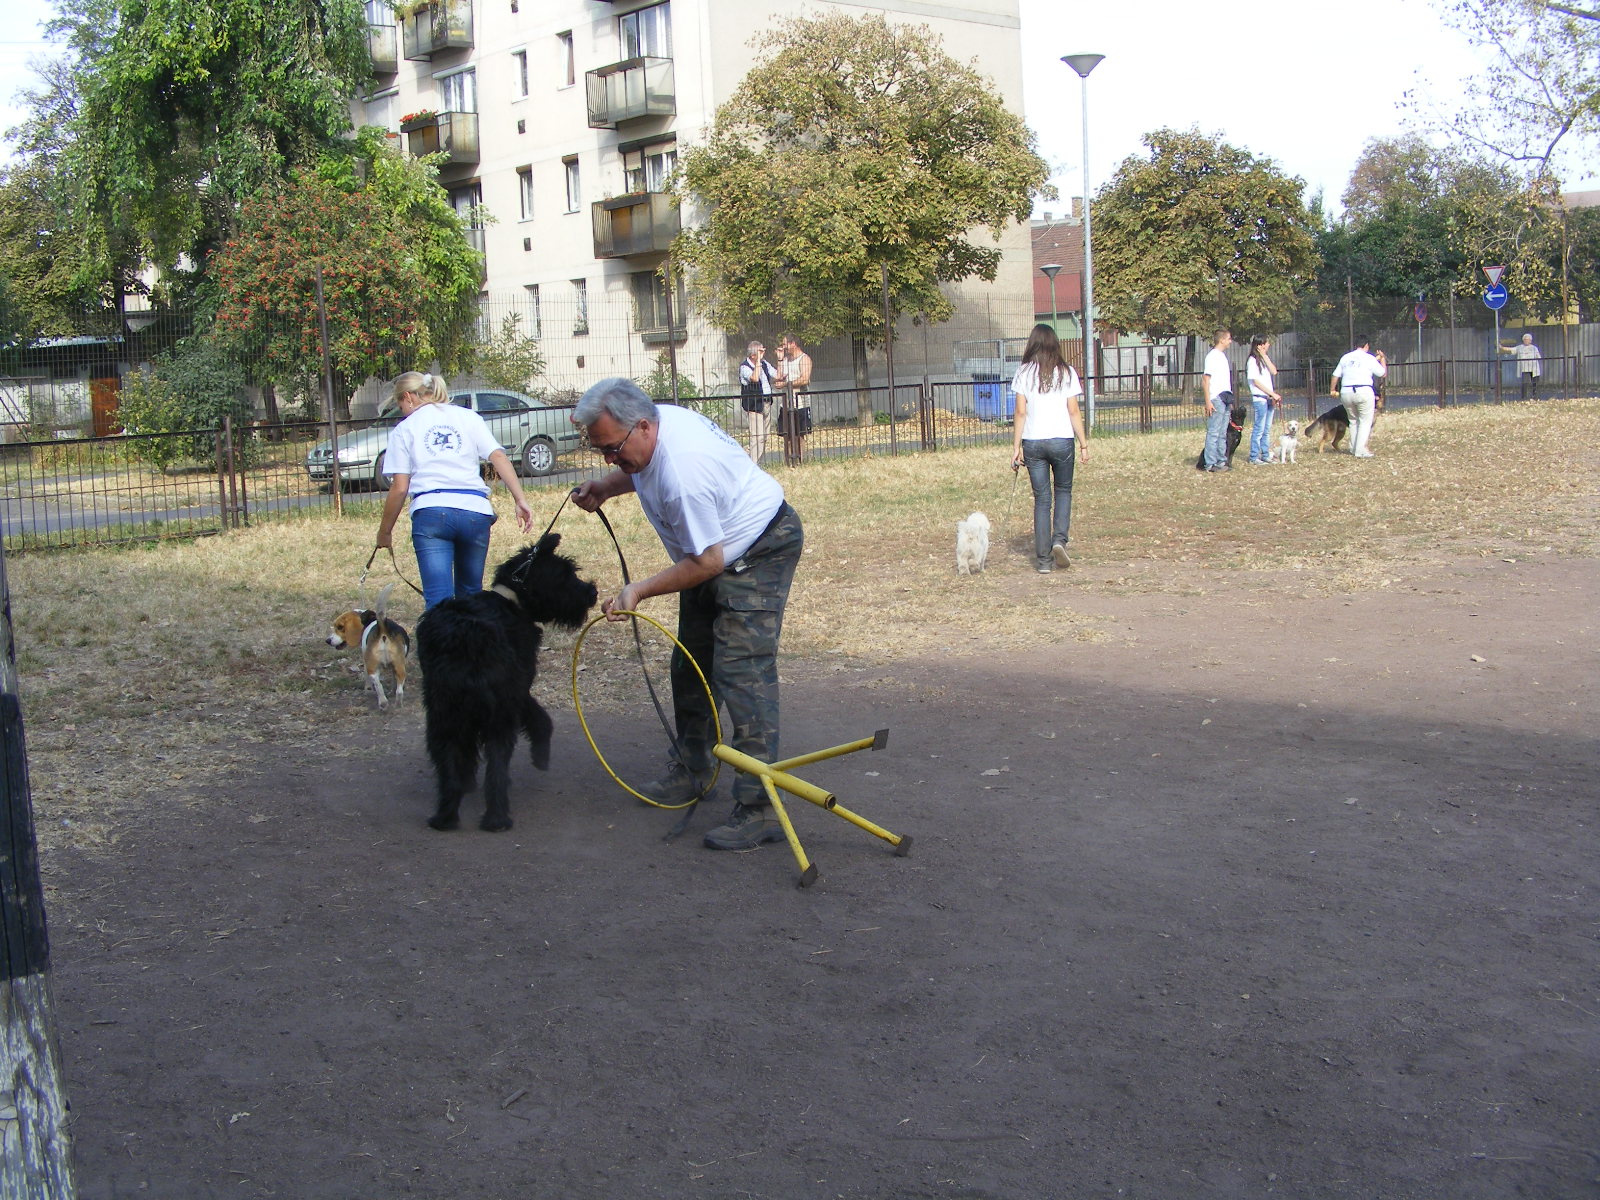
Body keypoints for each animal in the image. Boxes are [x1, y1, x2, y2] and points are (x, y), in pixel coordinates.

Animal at [419, 534, 601, 838]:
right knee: (496, 771)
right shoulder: (519, 691)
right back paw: (497, 819)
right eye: (565, 574)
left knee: (449, 768)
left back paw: (445, 816)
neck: (511, 600)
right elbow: (541, 719)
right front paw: (541, 756)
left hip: (443, 718)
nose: (592, 592)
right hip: (498, 717)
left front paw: (467, 780)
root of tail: (469, 637)